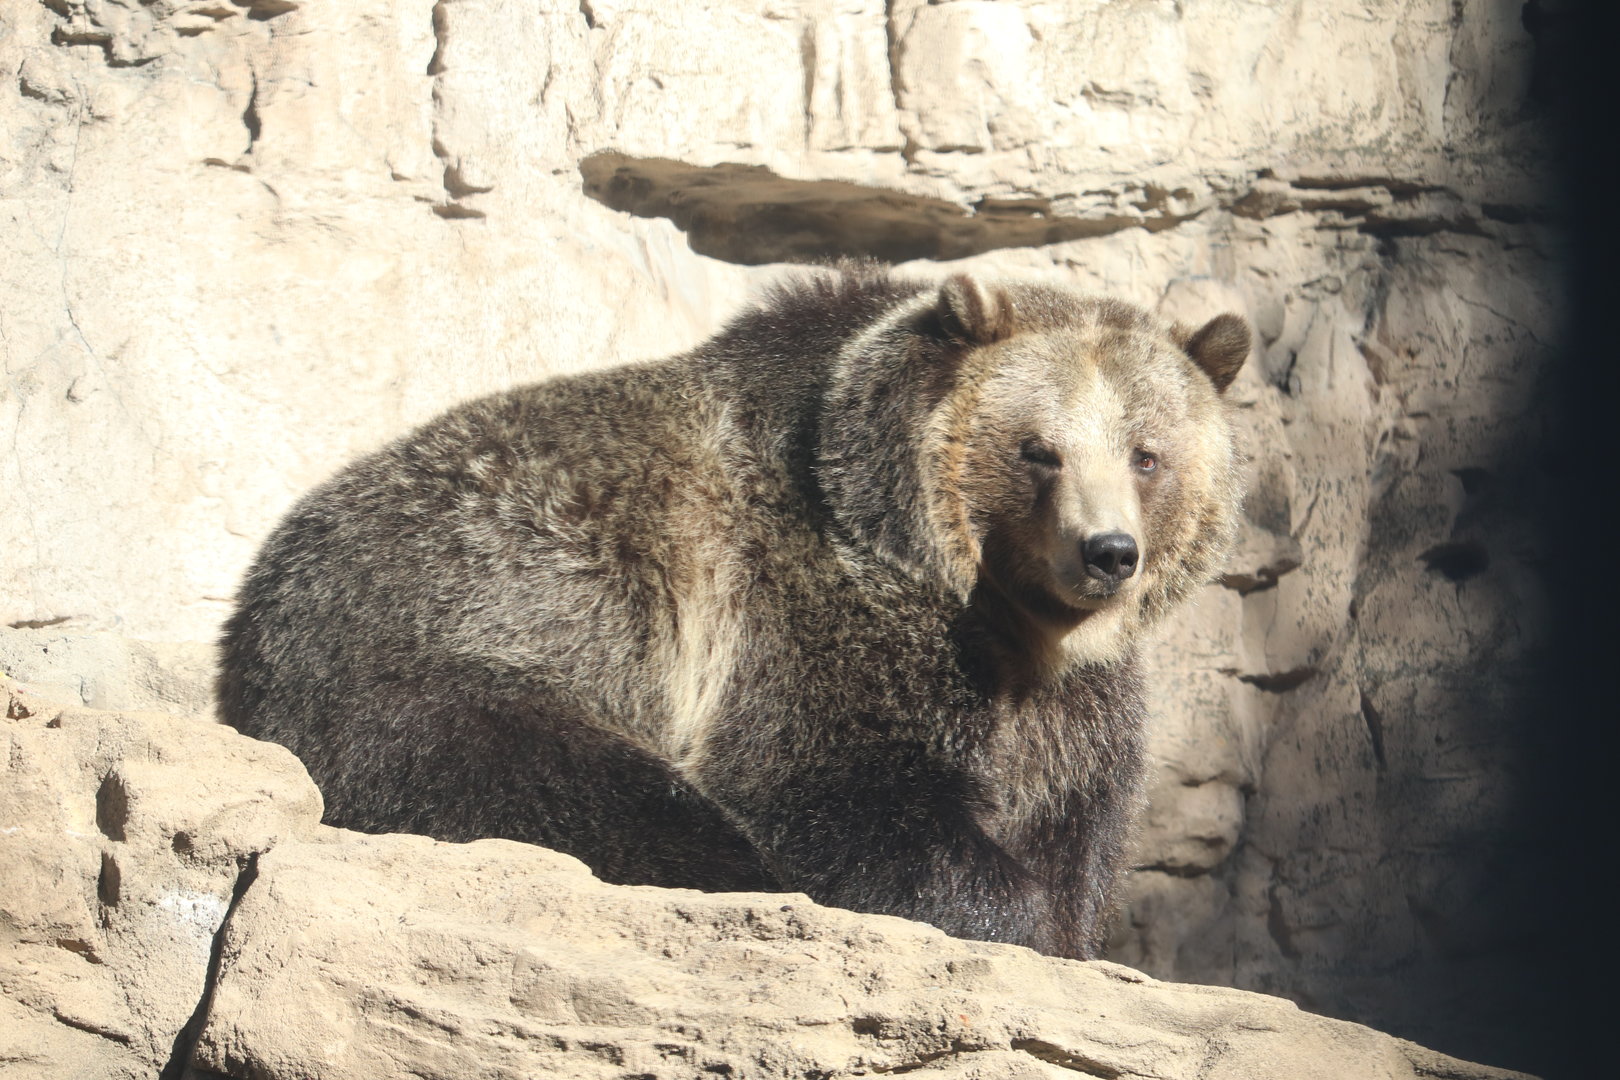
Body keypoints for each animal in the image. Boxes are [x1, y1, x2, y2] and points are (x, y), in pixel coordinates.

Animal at [218, 264, 1249, 959]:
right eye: (1039, 449)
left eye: (1147, 453)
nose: (1106, 553)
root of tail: (261, 590)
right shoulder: (803, 614)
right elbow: (836, 791)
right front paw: (1004, 914)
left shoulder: (1071, 711)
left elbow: (1073, 829)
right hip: (453, 648)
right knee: (590, 795)